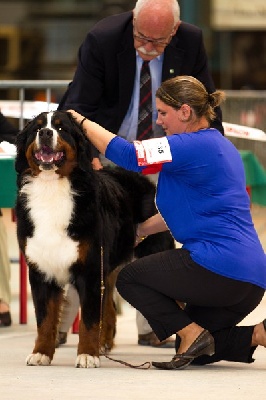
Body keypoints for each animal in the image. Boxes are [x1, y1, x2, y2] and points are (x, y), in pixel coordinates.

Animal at [16, 110, 175, 368]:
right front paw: (41, 353)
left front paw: (87, 355)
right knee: (109, 306)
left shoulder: (89, 269)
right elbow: (45, 319)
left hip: (150, 254)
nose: (46, 133)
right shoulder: (41, 271)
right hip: (108, 269)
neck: (51, 188)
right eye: (37, 128)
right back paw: (104, 344)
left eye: (61, 128)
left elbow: (89, 320)